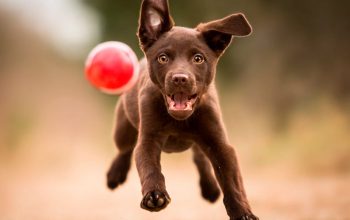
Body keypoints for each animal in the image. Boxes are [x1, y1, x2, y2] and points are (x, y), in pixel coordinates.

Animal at [106, 0, 258, 219]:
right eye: (163, 58)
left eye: (198, 58)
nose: (180, 79)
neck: (179, 120)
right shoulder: (148, 138)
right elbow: (149, 166)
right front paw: (154, 195)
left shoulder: (219, 143)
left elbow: (232, 181)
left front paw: (243, 212)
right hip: (123, 125)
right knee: (124, 149)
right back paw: (115, 174)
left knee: (200, 158)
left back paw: (210, 188)